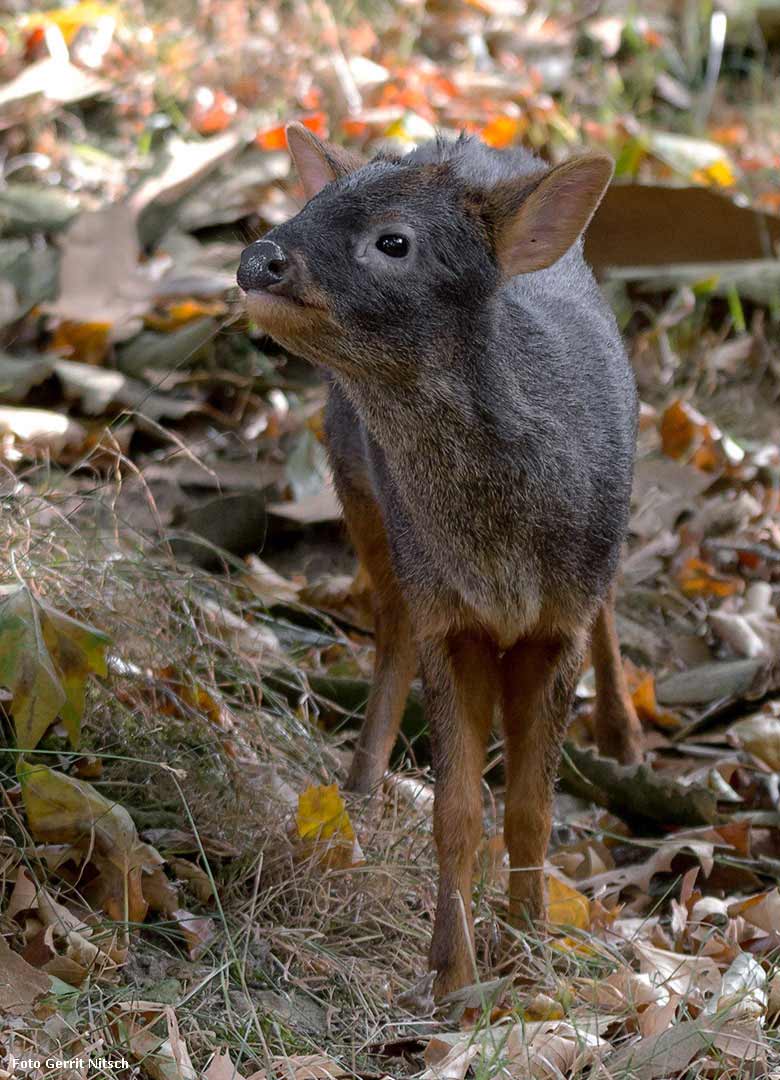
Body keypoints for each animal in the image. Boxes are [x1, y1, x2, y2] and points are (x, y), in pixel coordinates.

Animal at [235, 124, 639, 993]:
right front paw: (454, 974)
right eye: (313, 201)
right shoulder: (447, 615)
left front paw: (527, 956)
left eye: (395, 241)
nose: (261, 258)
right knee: (387, 621)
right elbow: (459, 812)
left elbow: (530, 809)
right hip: (356, 481)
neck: (503, 554)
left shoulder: (558, 619)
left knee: (614, 593)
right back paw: (359, 784)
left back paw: (626, 734)